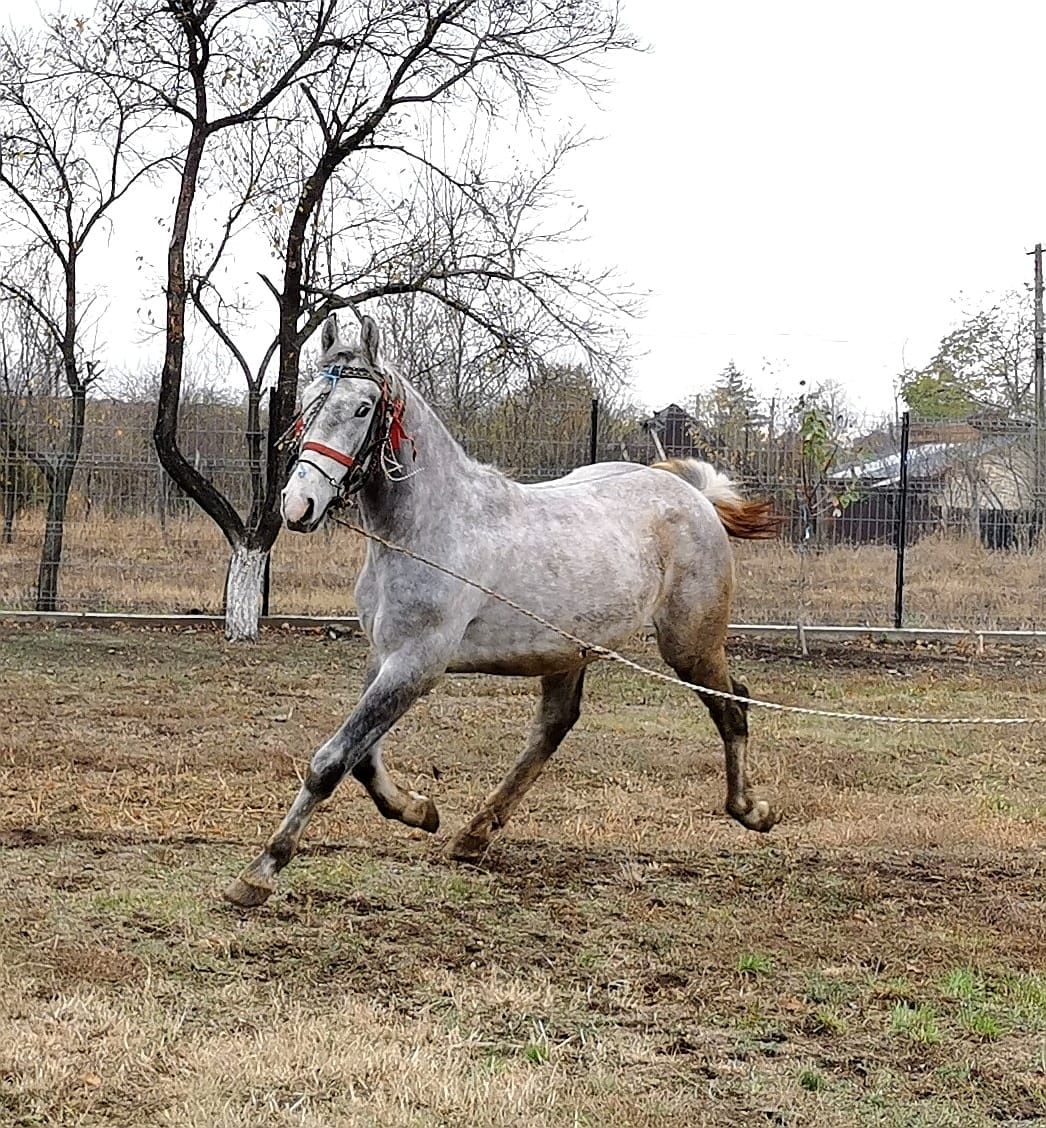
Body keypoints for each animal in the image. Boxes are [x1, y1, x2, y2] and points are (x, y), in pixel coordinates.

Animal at [224, 315, 780, 906]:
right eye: (310, 400)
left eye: (361, 407)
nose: (298, 504)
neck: (428, 529)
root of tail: (693, 495)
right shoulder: (385, 659)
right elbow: (364, 759)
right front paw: (420, 811)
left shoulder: (417, 664)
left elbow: (332, 760)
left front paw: (260, 871)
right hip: (569, 652)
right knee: (554, 727)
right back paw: (473, 834)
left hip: (689, 644)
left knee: (733, 705)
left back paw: (752, 811)